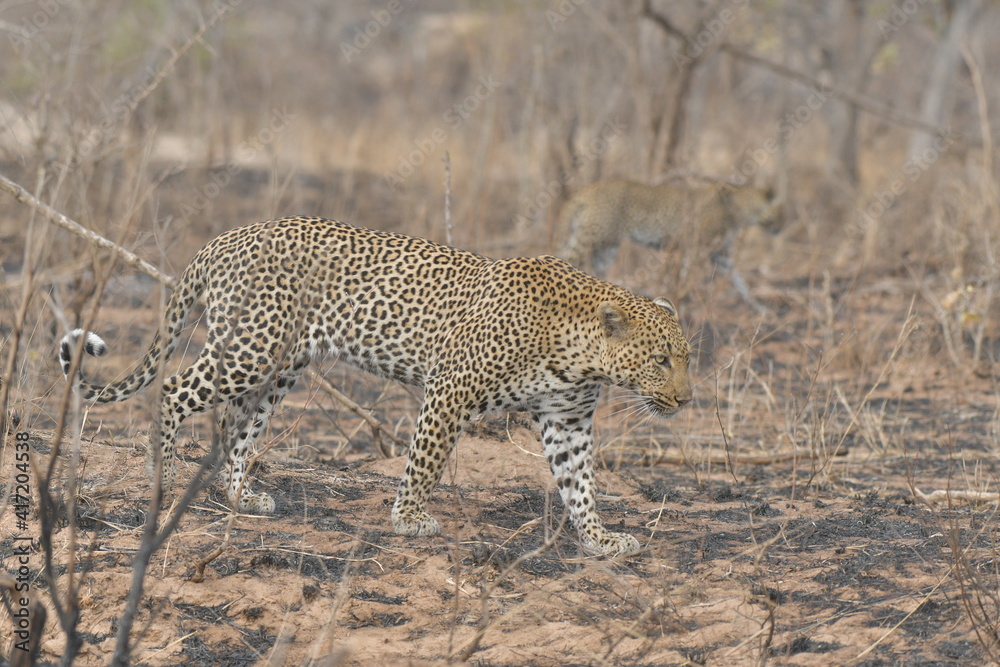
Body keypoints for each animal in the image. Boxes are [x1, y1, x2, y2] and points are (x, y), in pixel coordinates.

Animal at [59, 216, 692, 557]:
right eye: (661, 360)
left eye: (686, 359)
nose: (686, 400)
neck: (581, 354)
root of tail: (222, 240)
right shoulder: (450, 389)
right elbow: (425, 461)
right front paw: (408, 517)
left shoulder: (568, 421)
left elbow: (580, 485)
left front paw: (600, 540)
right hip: (249, 348)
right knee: (172, 389)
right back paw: (161, 473)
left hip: (278, 368)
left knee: (233, 423)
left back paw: (241, 496)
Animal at [559, 180, 781, 309]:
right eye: (782, 211)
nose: (782, 225)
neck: (741, 211)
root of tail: (586, 191)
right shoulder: (697, 247)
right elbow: (686, 276)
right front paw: (681, 301)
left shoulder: (720, 252)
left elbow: (738, 278)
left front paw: (758, 306)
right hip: (591, 238)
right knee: (567, 260)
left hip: (606, 247)